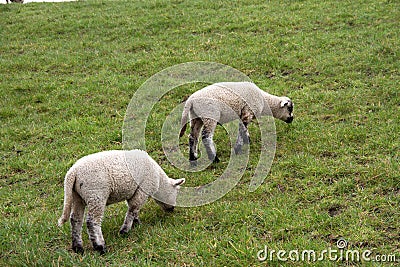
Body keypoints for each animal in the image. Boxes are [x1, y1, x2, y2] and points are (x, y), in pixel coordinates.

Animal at [57, 151, 185, 255]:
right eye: (176, 193)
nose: (171, 209)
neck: (159, 180)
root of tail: (73, 173)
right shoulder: (142, 190)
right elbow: (133, 209)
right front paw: (125, 230)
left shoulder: (134, 192)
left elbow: (133, 209)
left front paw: (136, 223)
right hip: (96, 194)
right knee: (92, 221)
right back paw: (100, 247)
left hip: (77, 197)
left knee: (75, 219)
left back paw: (78, 248)